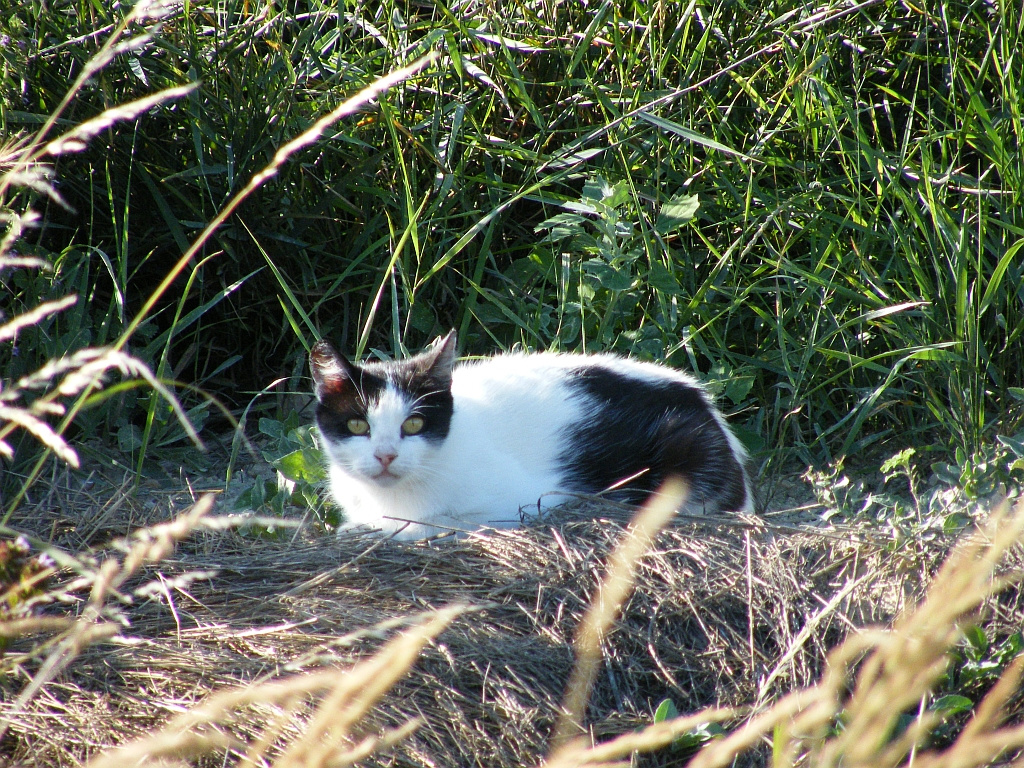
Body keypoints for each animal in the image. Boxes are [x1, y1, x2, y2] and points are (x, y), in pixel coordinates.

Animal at [309, 331, 753, 540]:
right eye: (358, 425)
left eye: (413, 425)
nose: (385, 456)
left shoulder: (522, 502)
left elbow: (436, 522)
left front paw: (376, 529)